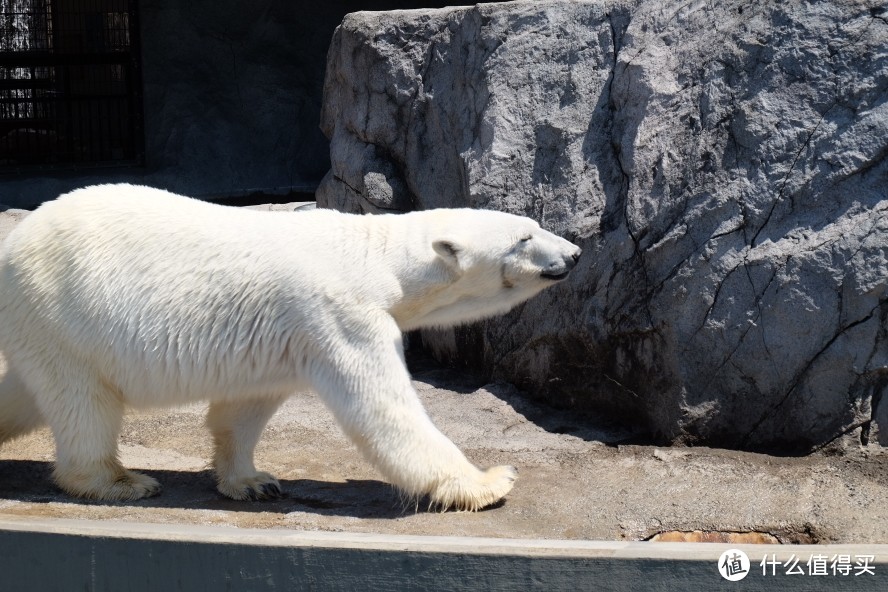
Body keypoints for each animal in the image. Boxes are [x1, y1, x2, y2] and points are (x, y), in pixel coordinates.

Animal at [0, 184, 584, 508]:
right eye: (524, 238)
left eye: (534, 223)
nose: (576, 253)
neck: (375, 258)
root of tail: (17, 239)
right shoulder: (340, 314)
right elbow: (382, 408)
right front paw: (490, 480)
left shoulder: (282, 335)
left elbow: (246, 406)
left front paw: (252, 481)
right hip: (65, 313)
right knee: (83, 402)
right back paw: (120, 481)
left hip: (41, 327)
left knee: (26, 393)